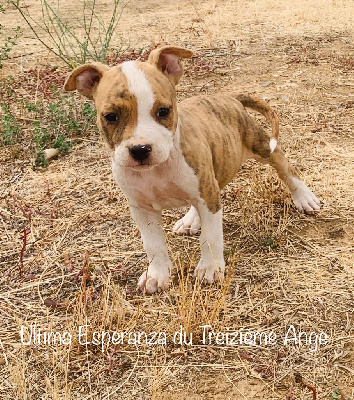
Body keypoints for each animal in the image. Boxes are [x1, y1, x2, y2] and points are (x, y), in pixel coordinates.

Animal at [63, 45, 320, 294]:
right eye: (110, 116)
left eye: (164, 111)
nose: (140, 149)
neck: (157, 170)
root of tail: (229, 98)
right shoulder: (142, 208)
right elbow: (153, 244)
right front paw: (157, 274)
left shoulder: (207, 194)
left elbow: (211, 236)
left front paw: (210, 268)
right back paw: (190, 220)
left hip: (260, 146)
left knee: (285, 167)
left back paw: (304, 197)